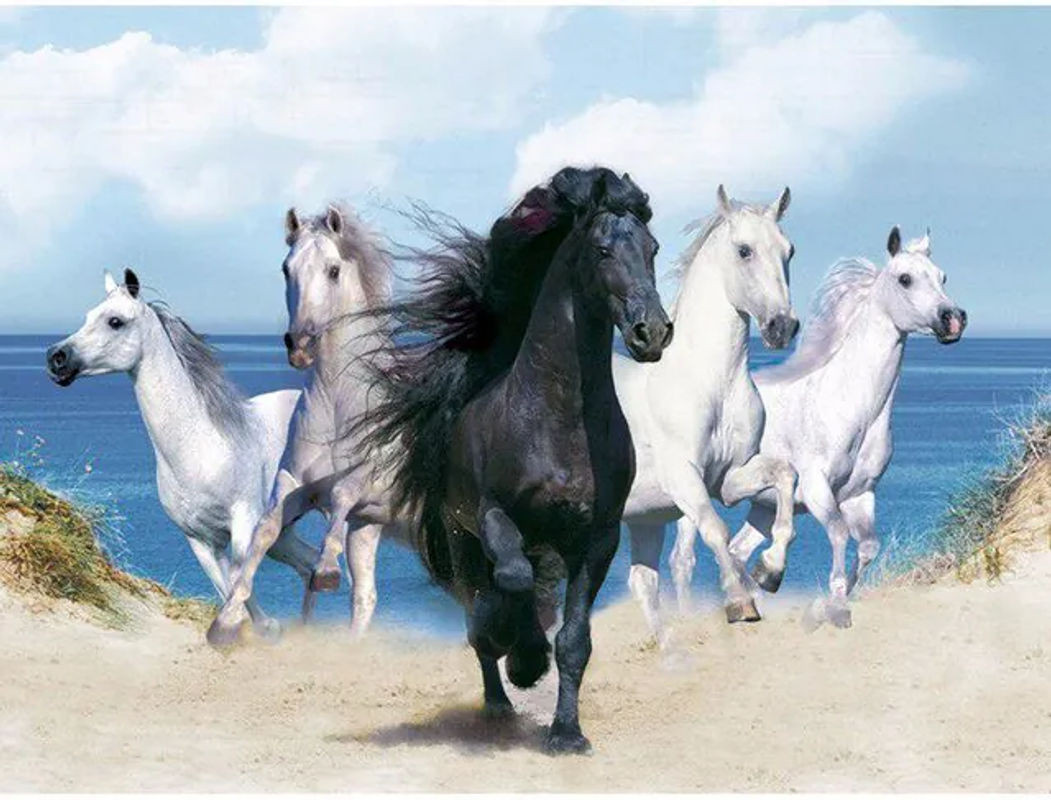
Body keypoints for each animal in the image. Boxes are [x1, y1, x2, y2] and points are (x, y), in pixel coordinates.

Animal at [45, 270, 319, 632]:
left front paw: (266, 628)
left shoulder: (244, 523)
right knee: (312, 564)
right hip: (283, 532)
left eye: (115, 321)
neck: (200, 445)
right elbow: (227, 589)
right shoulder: (200, 540)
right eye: (88, 316)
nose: (56, 358)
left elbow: (240, 581)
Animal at [206, 203, 396, 646]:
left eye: (333, 270)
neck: (340, 404)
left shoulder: (368, 478)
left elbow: (343, 492)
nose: (301, 346)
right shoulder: (297, 484)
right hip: (369, 528)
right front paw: (225, 621)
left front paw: (325, 571)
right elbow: (265, 529)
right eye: (285, 268)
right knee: (366, 596)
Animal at [360, 166, 672, 754]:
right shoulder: (496, 518)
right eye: (601, 250)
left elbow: (574, 641)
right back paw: (500, 696)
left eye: (652, 248)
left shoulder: (596, 539)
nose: (653, 332)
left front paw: (567, 733)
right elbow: (512, 581)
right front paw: (526, 660)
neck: (560, 422)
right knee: (481, 608)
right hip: (462, 539)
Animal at [616, 185, 799, 643]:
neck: (712, 383)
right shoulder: (684, 477)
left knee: (642, 582)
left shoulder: (730, 478)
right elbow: (715, 529)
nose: (782, 327)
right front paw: (739, 602)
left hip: (643, 518)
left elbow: (786, 476)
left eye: (789, 250)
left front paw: (770, 571)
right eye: (744, 250)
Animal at [685, 226, 968, 628]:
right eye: (905, 278)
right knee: (683, 558)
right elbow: (837, 532)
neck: (852, 406)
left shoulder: (861, 495)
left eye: (942, 277)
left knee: (737, 549)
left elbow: (868, 547)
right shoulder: (818, 489)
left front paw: (830, 598)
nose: (953, 319)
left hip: (761, 506)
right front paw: (831, 604)